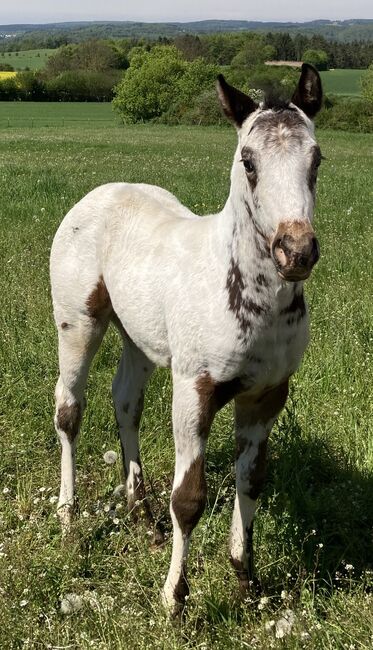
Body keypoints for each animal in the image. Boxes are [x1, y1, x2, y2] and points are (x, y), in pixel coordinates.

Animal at [50, 62, 322, 612]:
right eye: (248, 162)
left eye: (317, 158)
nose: (296, 250)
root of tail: (100, 192)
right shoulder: (194, 389)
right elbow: (189, 497)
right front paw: (174, 598)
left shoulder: (267, 394)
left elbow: (251, 480)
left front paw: (245, 579)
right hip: (77, 323)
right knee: (69, 410)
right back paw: (69, 518)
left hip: (138, 338)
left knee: (125, 403)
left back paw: (142, 514)